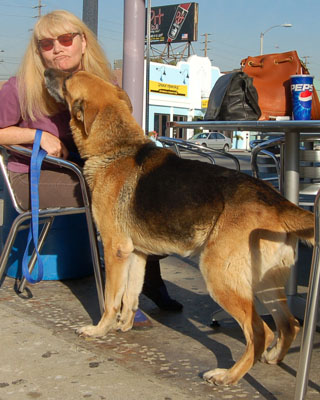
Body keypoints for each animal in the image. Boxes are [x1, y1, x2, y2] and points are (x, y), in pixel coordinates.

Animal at [43, 69, 314, 384]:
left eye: (68, 79)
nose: (47, 70)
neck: (116, 148)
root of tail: (277, 202)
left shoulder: (115, 250)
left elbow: (112, 298)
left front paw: (101, 329)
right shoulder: (137, 254)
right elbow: (131, 295)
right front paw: (124, 325)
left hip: (220, 277)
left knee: (261, 331)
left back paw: (229, 376)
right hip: (265, 283)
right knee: (289, 324)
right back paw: (270, 357)